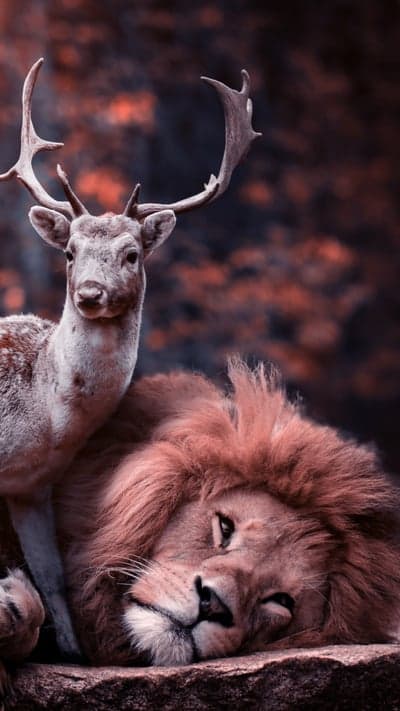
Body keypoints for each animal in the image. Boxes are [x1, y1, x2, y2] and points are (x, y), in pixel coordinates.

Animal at [0, 58, 261, 660]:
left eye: (132, 253)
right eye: (70, 252)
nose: (90, 293)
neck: (43, 420)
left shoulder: (31, 486)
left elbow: (51, 577)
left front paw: (73, 650)